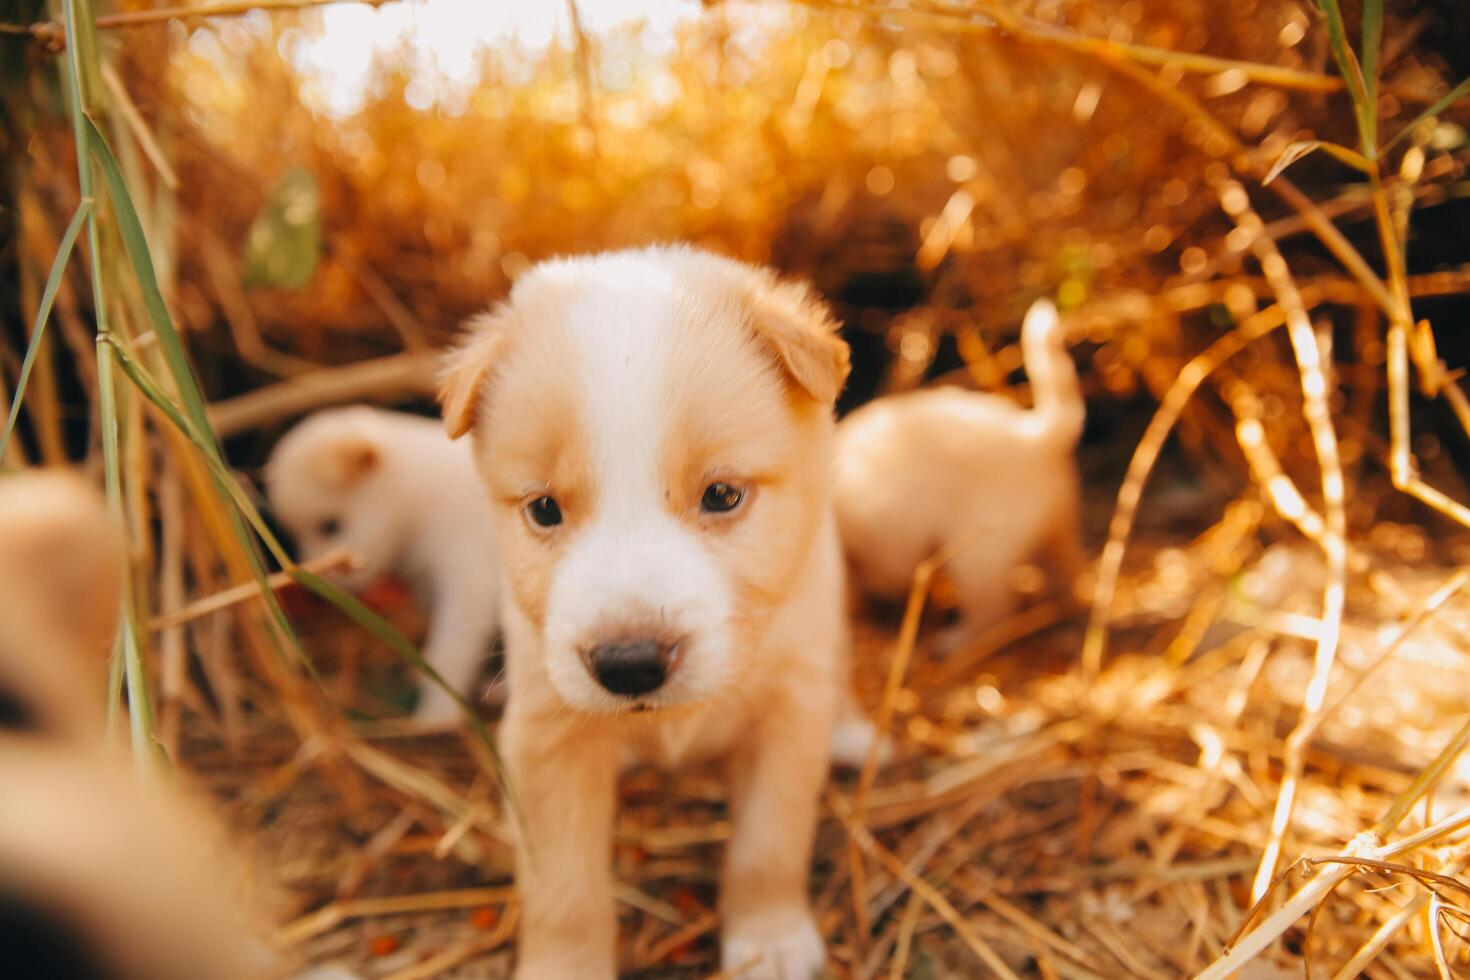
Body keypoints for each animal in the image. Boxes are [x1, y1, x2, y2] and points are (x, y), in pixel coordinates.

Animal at [270, 405, 505, 728]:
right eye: (294, 535)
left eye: (331, 526)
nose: (313, 593)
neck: (419, 501)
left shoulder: (468, 585)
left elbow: (450, 654)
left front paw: (435, 716)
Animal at [435, 246, 870, 980]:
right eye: (544, 509)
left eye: (722, 495)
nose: (629, 665)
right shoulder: (548, 737)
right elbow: (564, 888)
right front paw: (564, 967)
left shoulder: (787, 711)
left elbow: (769, 843)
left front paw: (772, 939)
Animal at [834, 299, 1087, 652]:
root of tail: (1035, 435)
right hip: (1055, 535)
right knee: (1067, 577)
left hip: (973, 557)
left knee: (993, 609)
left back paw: (954, 641)